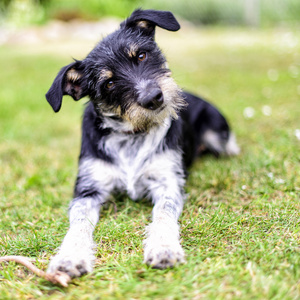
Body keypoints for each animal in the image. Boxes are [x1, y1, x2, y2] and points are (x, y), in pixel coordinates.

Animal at [45, 8, 239, 276]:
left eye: (141, 55)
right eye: (109, 83)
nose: (154, 97)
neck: (132, 135)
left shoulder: (167, 182)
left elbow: (163, 215)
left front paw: (164, 248)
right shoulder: (88, 189)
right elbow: (78, 223)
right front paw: (69, 257)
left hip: (218, 133)